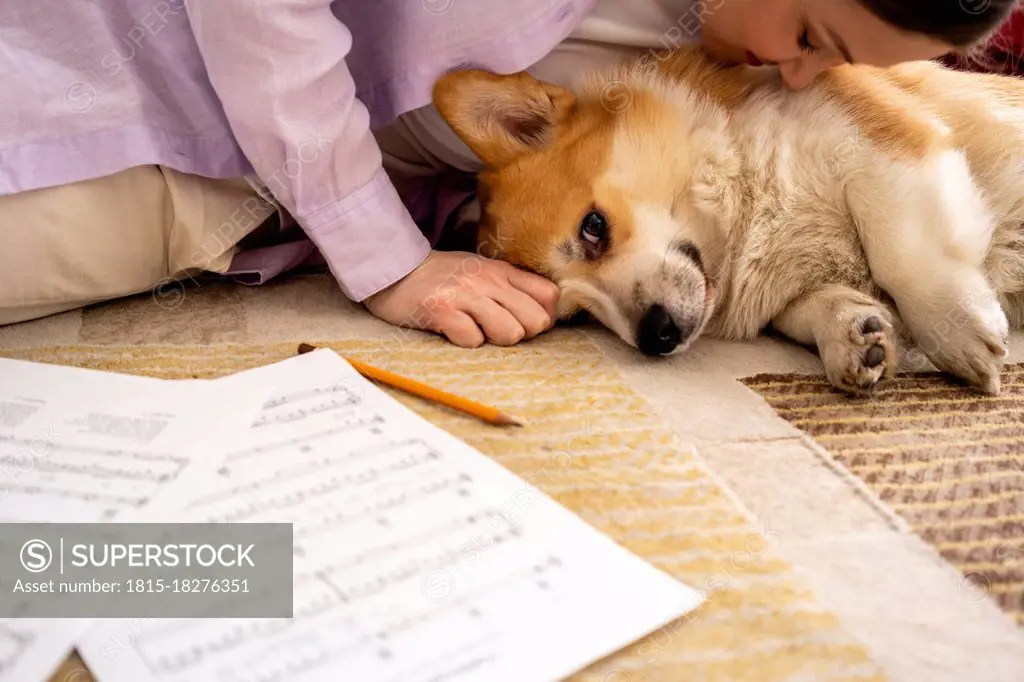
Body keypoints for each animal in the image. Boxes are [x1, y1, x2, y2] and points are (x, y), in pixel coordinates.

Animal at [430, 46, 1024, 393]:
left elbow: (903, 251)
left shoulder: (871, 137)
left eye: (592, 227)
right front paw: (853, 334)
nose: (657, 337)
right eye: (575, 314)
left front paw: (959, 333)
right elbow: (808, 308)